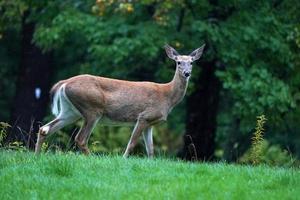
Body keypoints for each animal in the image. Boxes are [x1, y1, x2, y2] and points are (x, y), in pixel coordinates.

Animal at [34, 44, 204, 158]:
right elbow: (132, 143)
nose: (187, 73)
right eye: (178, 62)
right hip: (92, 109)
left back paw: (36, 157)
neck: (167, 97)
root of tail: (64, 83)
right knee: (80, 139)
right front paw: (123, 159)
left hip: (70, 111)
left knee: (45, 129)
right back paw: (92, 159)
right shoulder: (144, 116)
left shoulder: (151, 122)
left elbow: (150, 149)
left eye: (191, 62)